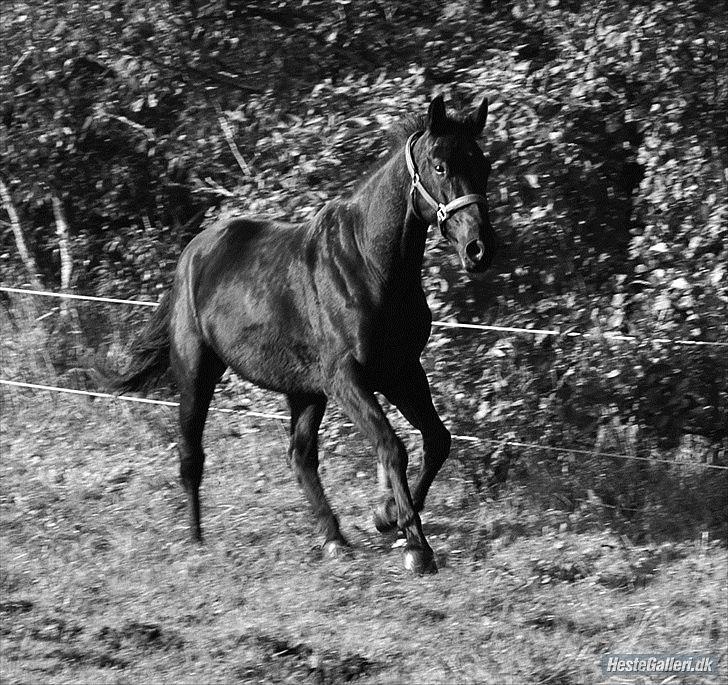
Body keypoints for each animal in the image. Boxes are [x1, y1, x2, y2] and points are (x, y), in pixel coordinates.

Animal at [116, 95, 498, 572]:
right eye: (440, 166)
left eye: (483, 164)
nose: (479, 250)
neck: (369, 266)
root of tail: (193, 253)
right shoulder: (347, 378)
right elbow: (392, 446)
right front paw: (415, 546)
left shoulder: (402, 371)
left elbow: (437, 440)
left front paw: (387, 516)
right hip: (197, 372)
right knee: (191, 454)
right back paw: (196, 542)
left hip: (303, 389)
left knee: (300, 457)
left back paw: (333, 538)